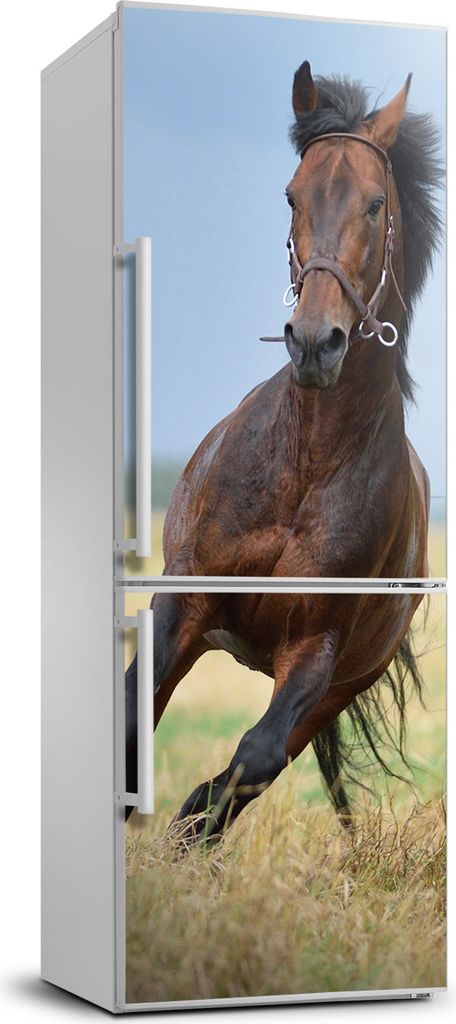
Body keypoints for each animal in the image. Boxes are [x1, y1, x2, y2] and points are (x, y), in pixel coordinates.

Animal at [126, 62, 442, 837]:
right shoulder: (183, 602)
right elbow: (132, 723)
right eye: (293, 195)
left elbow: (248, 762)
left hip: (334, 690)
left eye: (375, 205)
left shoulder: (315, 651)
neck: (304, 465)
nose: (315, 342)